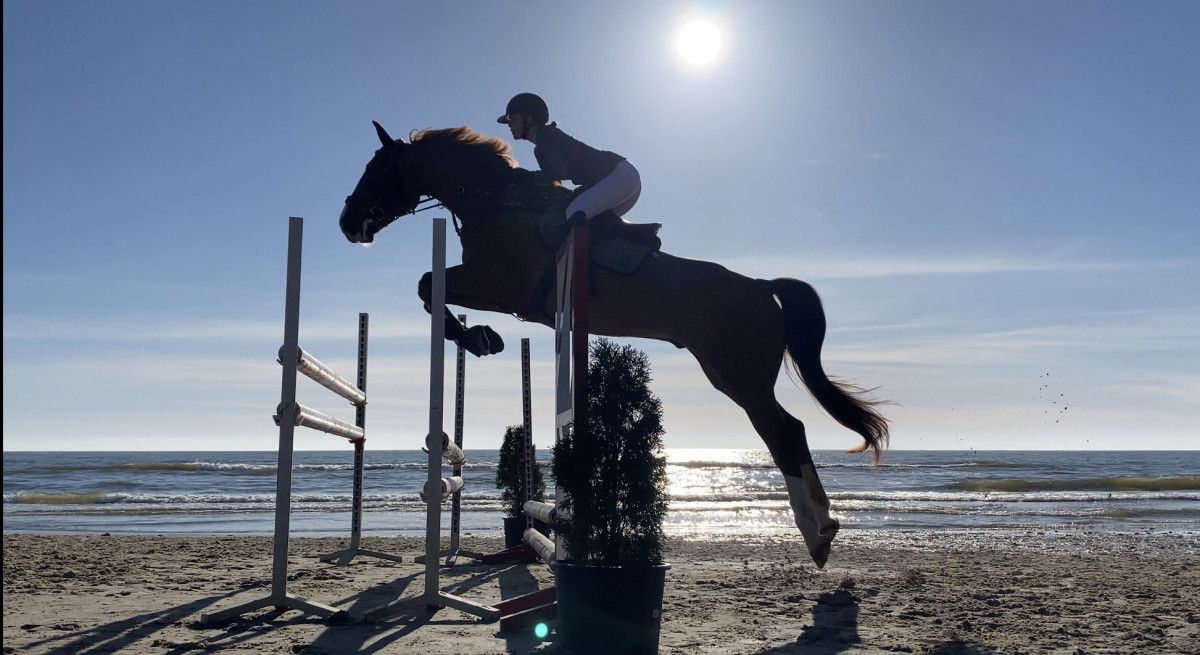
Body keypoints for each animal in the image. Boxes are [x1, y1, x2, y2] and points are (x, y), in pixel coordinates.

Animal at [338, 122, 889, 567]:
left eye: (376, 170)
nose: (346, 223)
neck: (495, 202)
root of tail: (760, 286)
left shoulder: (497, 283)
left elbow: (428, 283)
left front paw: (478, 337)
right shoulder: (488, 286)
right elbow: (428, 285)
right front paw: (480, 336)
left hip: (738, 377)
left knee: (785, 433)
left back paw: (817, 533)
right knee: (790, 431)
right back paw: (824, 526)